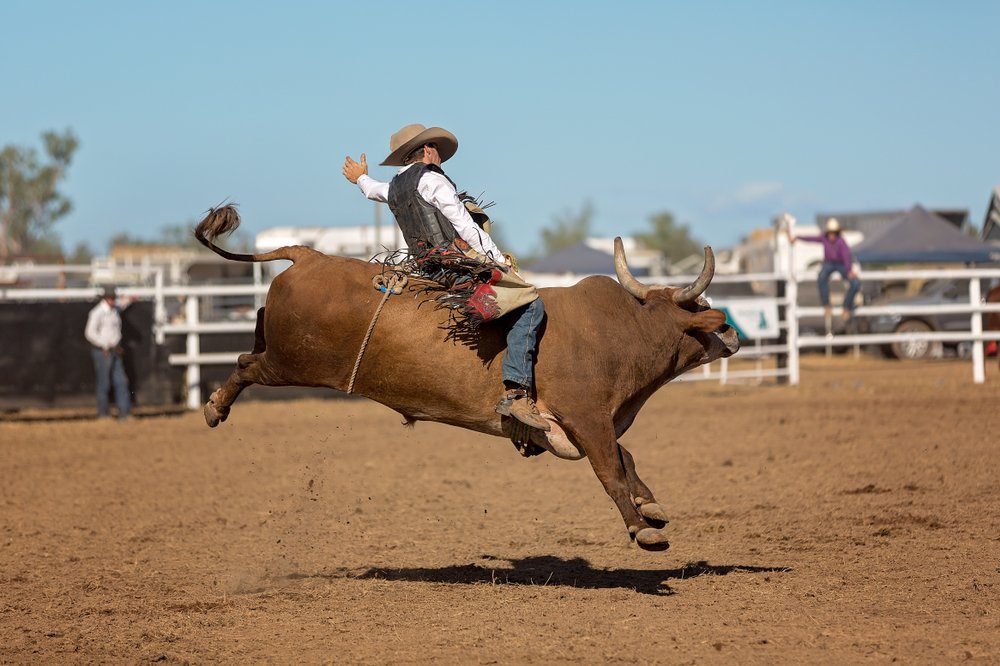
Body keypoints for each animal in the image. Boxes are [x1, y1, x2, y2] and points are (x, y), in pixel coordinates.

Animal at [197, 205, 744, 548]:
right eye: (700, 306)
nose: (732, 334)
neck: (621, 331)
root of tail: (308, 255)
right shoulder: (587, 417)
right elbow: (611, 469)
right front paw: (642, 528)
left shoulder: (592, 424)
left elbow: (625, 459)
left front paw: (651, 507)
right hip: (292, 361)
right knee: (245, 365)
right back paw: (214, 407)